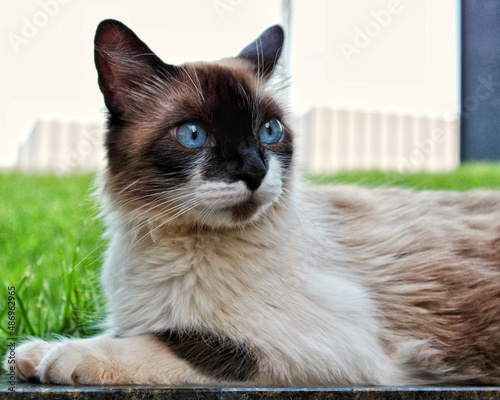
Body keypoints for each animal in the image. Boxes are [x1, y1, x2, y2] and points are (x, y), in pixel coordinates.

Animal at [7, 19, 500, 388]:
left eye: (269, 131)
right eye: (193, 135)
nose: (254, 170)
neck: (171, 247)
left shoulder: (322, 346)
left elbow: (172, 342)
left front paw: (62, 357)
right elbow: (121, 329)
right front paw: (32, 352)